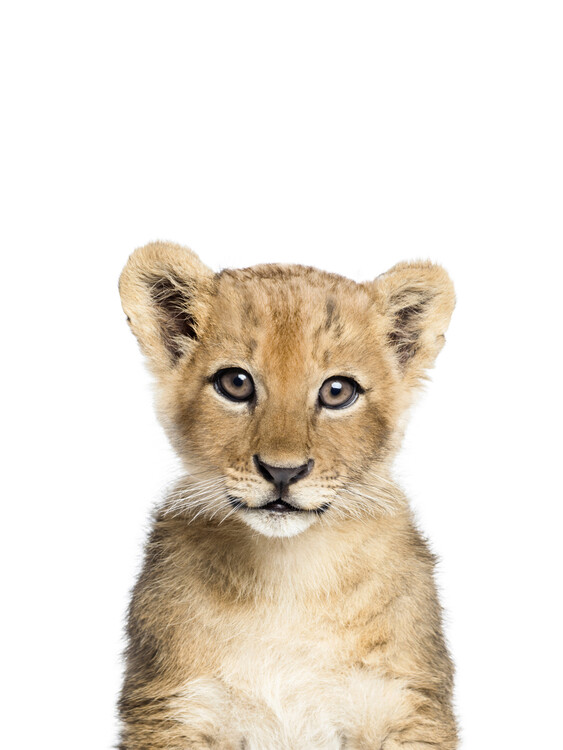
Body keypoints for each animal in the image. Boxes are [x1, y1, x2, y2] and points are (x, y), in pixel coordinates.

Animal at [117, 241, 458, 749]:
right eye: (235, 383)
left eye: (337, 391)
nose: (283, 472)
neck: (288, 576)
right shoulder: (174, 707)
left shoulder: (405, 704)